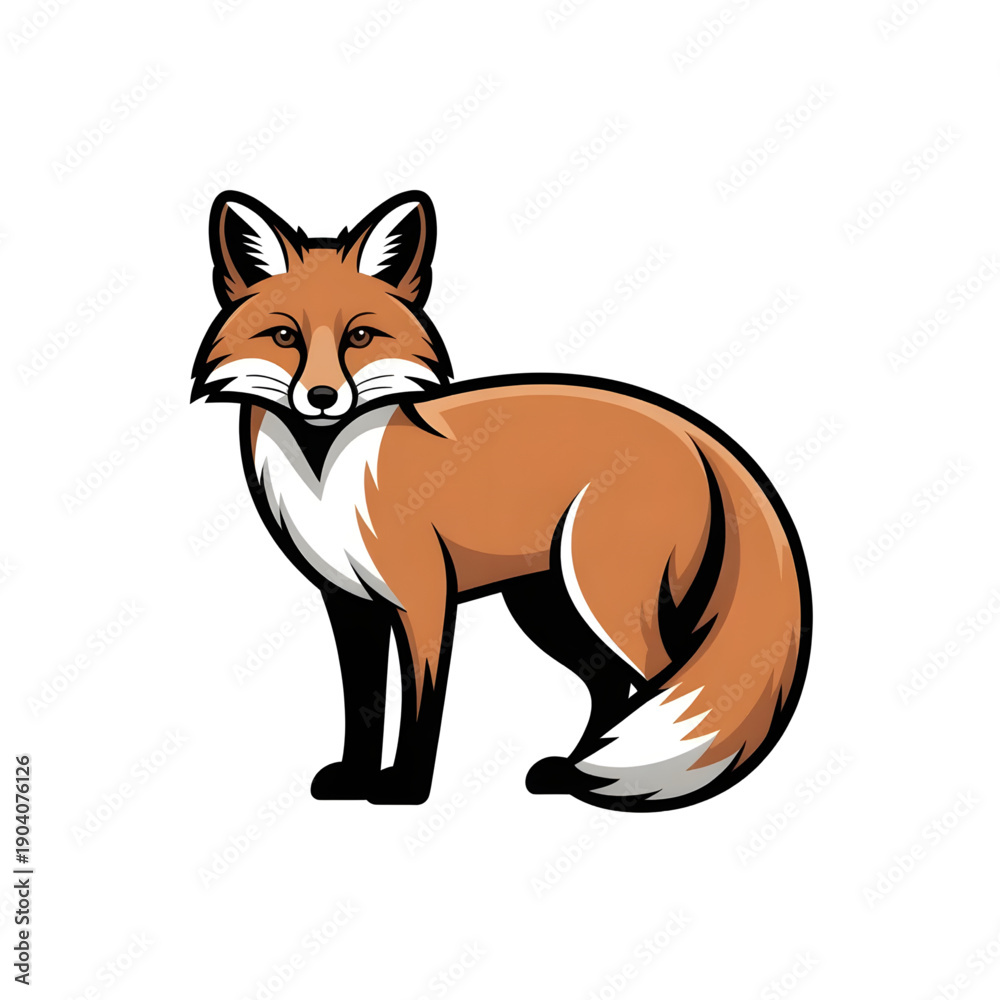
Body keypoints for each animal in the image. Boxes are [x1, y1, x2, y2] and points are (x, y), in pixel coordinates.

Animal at [191, 189, 811, 811]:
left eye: (360, 338)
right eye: (284, 337)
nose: (322, 397)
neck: (327, 471)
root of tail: (691, 428)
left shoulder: (425, 600)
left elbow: (421, 705)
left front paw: (405, 788)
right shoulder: (349, 602)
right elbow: (362, 703)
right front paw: (355, 780)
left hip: (604, 598)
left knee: (661, 683)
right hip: (547, 605)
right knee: (612, 688)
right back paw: (573, 775)